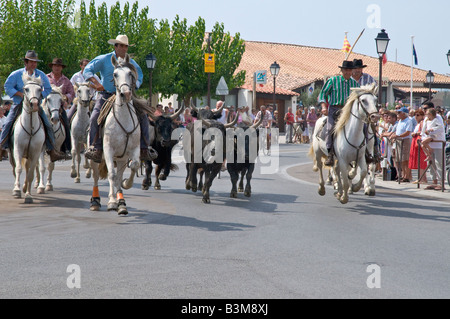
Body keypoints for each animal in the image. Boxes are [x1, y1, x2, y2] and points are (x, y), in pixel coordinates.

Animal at [10, 73, 45, 204]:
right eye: (26, 89)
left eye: (40, 89)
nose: (34, 104)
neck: (30, 127)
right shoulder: (18, 149)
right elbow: (19, 169)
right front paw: (16, 191)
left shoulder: (35, 153)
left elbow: (30, 174)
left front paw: (28, 195)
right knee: (15, 168)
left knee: (28, 168)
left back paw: (25, 188)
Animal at [89, 54, 142, 215]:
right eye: (115, 74)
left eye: (130, 73)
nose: (126, 94)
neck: (123, 117)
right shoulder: (108, 149)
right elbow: (111, 175)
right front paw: (112, 202)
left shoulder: (134, 150)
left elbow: (134, 166)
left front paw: (126, 185)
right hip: (95, 158)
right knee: (97, 176)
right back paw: (97, 202)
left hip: (121, 158)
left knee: (118, 176)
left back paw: (121, 202)